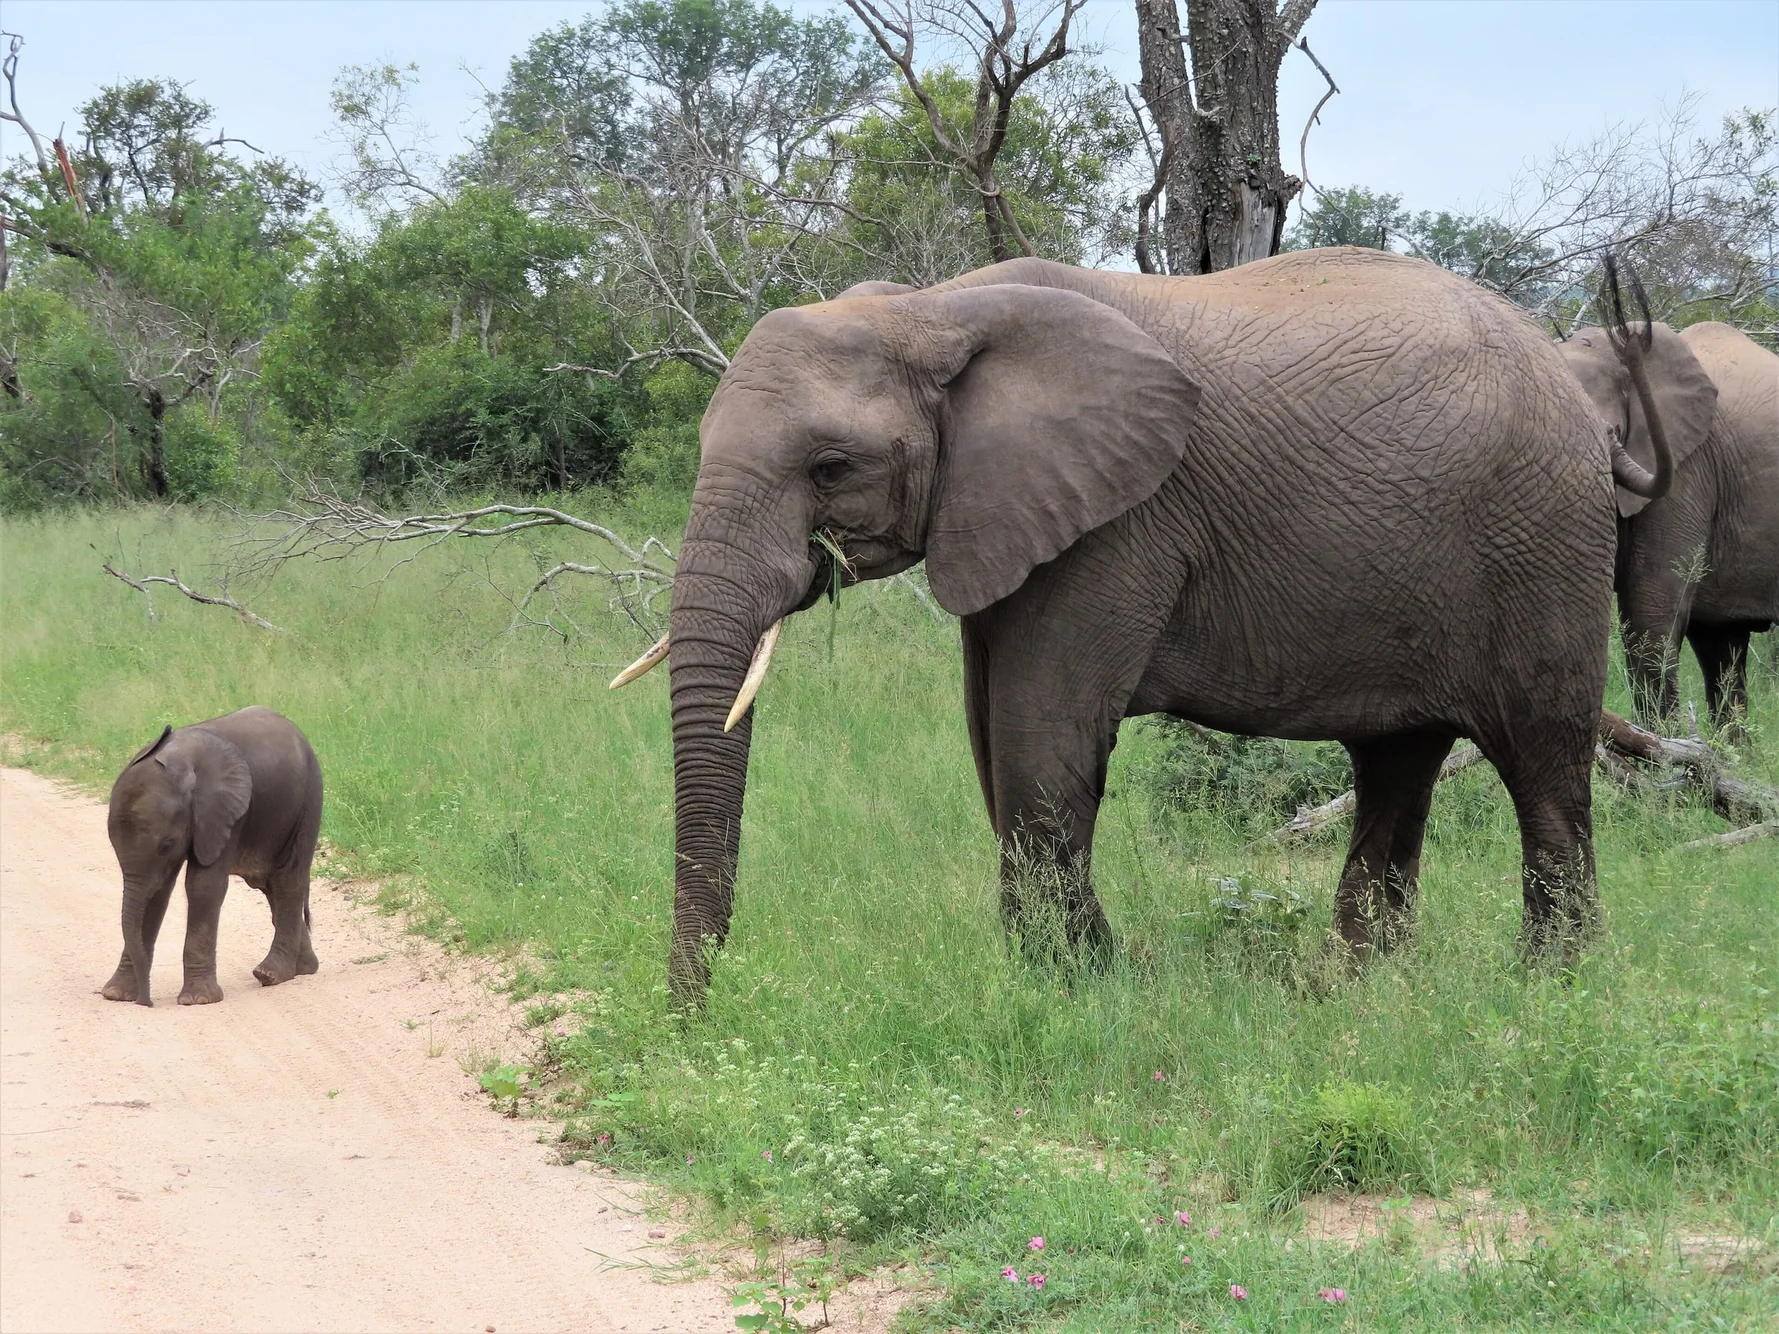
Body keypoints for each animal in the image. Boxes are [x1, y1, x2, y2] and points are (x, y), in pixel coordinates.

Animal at [103, 706, 323, 1007]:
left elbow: (203, 886)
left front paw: (197, 1000)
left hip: (308, 800)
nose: (146, 1002)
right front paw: (115, 995)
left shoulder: (227, 813)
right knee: (271, 887)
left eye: (167, 844)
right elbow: (157, 893)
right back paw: (304, 968)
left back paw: (272, 974)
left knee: (288, 879)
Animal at [614, 248, 1673, 1005]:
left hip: (1542, 541)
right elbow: (992, 744)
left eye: (830, 467)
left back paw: (1548, 990)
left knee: (1541, 763)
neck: (930, 307)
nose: (693, 1015)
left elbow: (1041, 738)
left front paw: (1079, 984)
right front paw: (1063, 973)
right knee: (1396, 765)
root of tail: (1573, 389)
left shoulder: (1120, 524)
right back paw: (1356, 989)